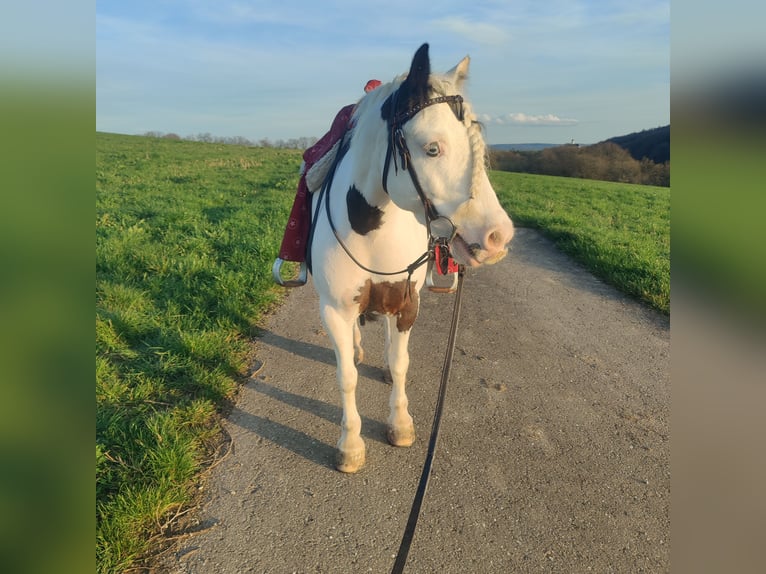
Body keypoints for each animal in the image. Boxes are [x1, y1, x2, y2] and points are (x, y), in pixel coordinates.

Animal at [308, 44, 516, 476]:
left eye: (478, 144)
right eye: (432, 148)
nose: (499, 236)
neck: (371, 226)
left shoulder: (407, 302)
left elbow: (402, 362)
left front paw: (400, 424)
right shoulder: (335, 309)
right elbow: (346, 377)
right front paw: (350, 444)